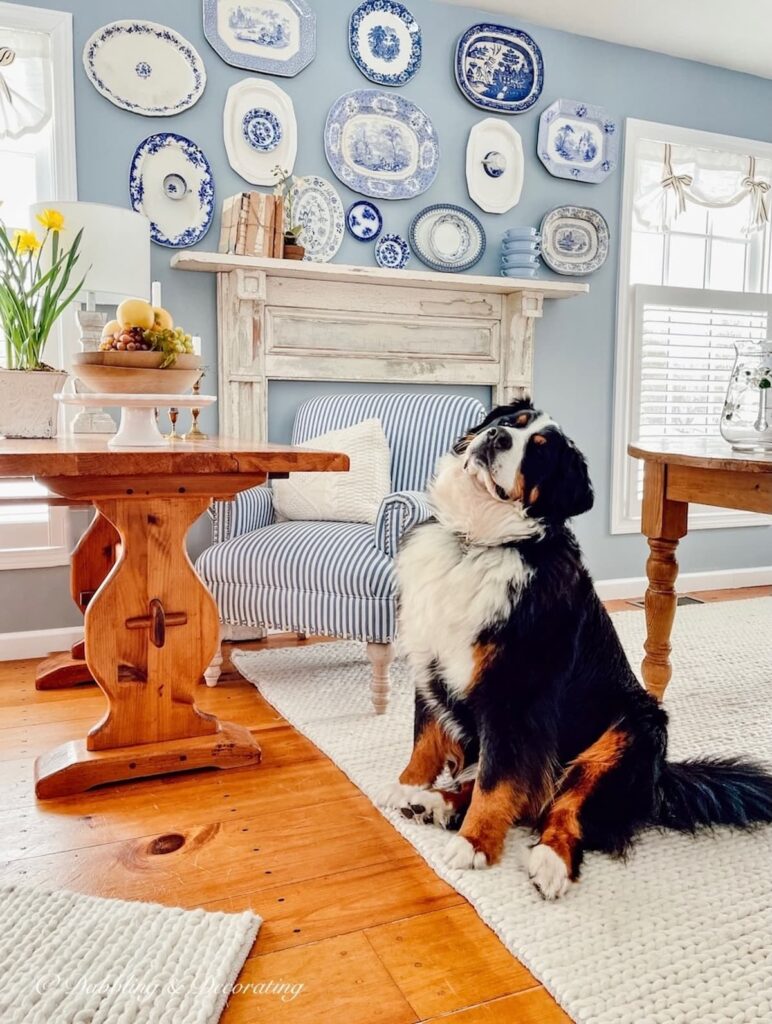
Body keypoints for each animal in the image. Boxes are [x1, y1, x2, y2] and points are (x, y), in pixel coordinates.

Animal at [376, 399, 769, 897]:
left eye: (540, 452)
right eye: (510, 423)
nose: (496, 437)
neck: (477, 543)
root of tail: (661, 779)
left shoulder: (515, 693)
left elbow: (497, 779)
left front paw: (475, 843)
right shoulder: (432, 660)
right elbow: (428, 739)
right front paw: (407, 787)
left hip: (631, 730)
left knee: (563, 805)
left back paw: (549, 860)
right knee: (533, 791)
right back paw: (434, 803)